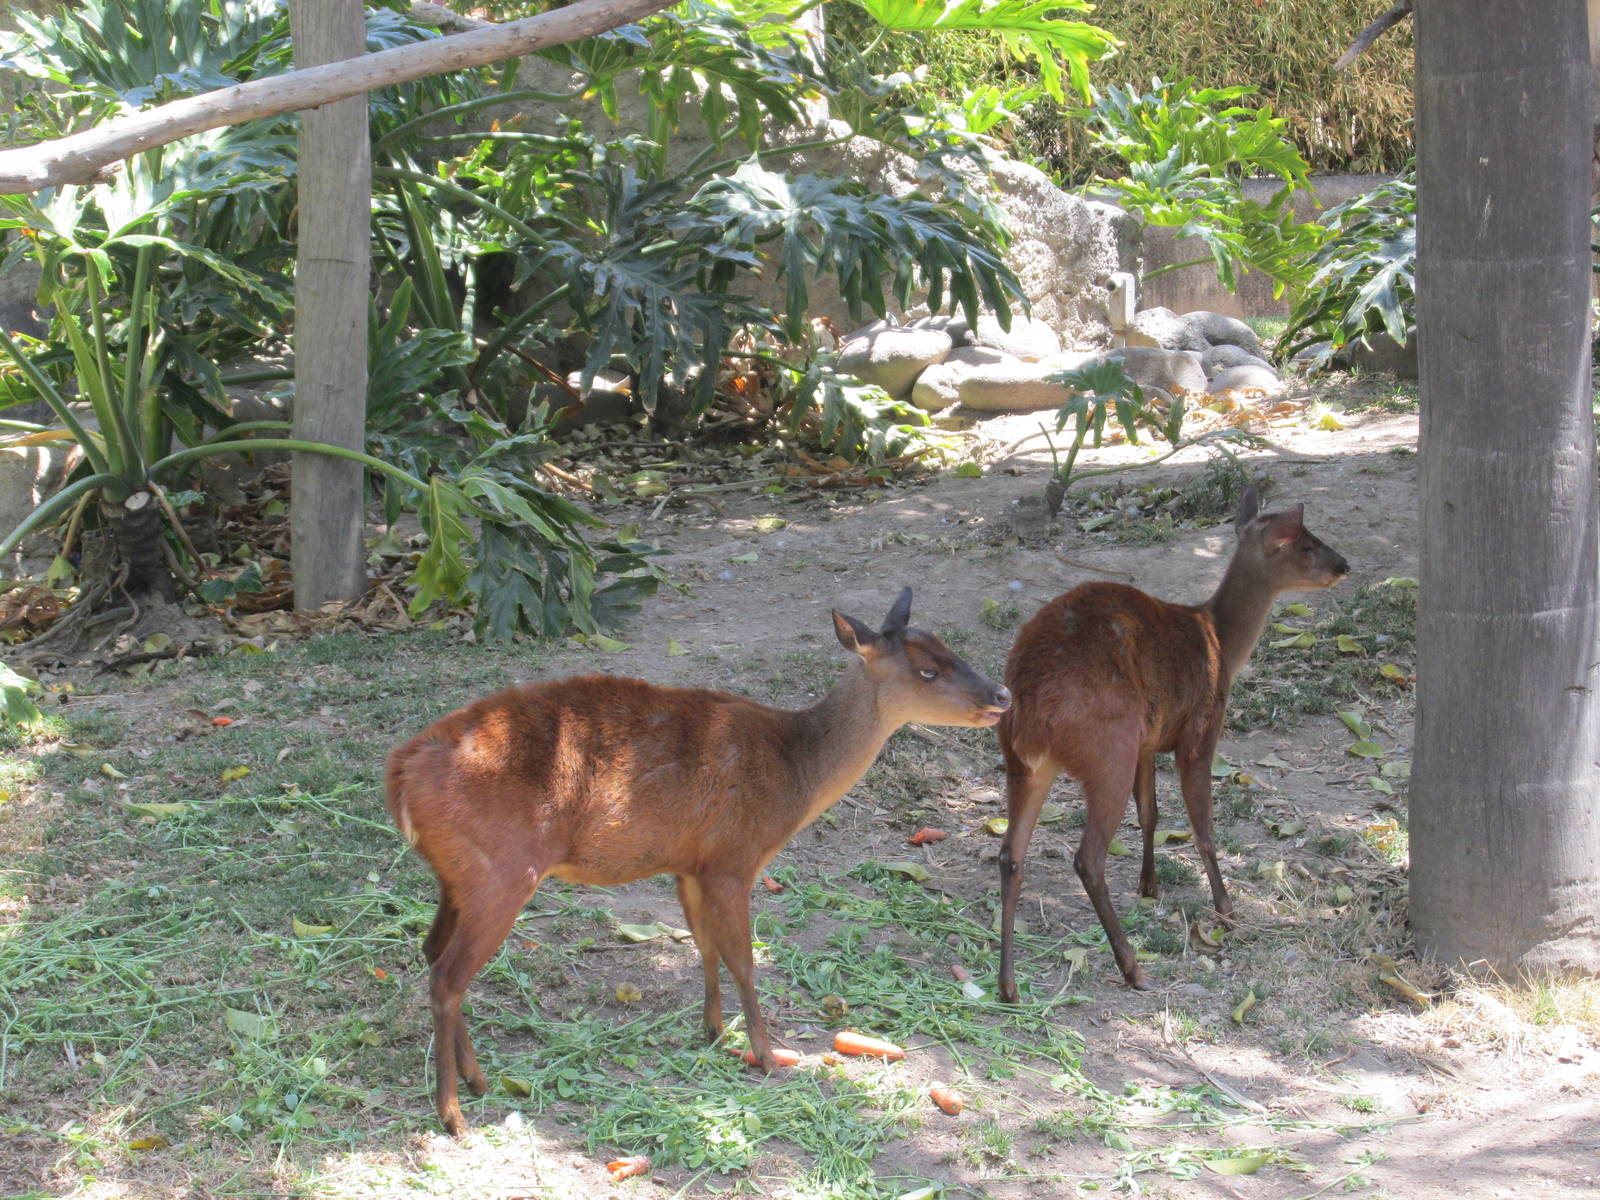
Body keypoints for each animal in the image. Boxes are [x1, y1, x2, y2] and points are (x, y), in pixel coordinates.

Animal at [386, 588, 1011, 1136]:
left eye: (952, 648)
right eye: (927, 671)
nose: (1003, 694)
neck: (795, 774)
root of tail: (400, 778)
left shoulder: (690, 861)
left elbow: (704, 945)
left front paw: (712, 1031)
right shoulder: (734, 858)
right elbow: (744, 958)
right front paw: (766, 1055)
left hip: (456, 875)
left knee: (432, 951)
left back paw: (478, 1081)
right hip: (504, 869)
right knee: (448, 976)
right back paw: (453, 1114)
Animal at [994, 486, 1349, 999]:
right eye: (1306, 544)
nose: (1344, 565)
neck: (1219, 639)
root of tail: (1028, 697)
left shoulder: (1149, 741)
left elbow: (1151, 813)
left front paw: (1150, 886)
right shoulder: (1200, 730)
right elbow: (1203, 827)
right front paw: (1227, 910)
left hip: (1026, 762)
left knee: (1010, 855)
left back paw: (1008, 986)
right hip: (1109, 748)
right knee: (1088, 859)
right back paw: (1132, 968)